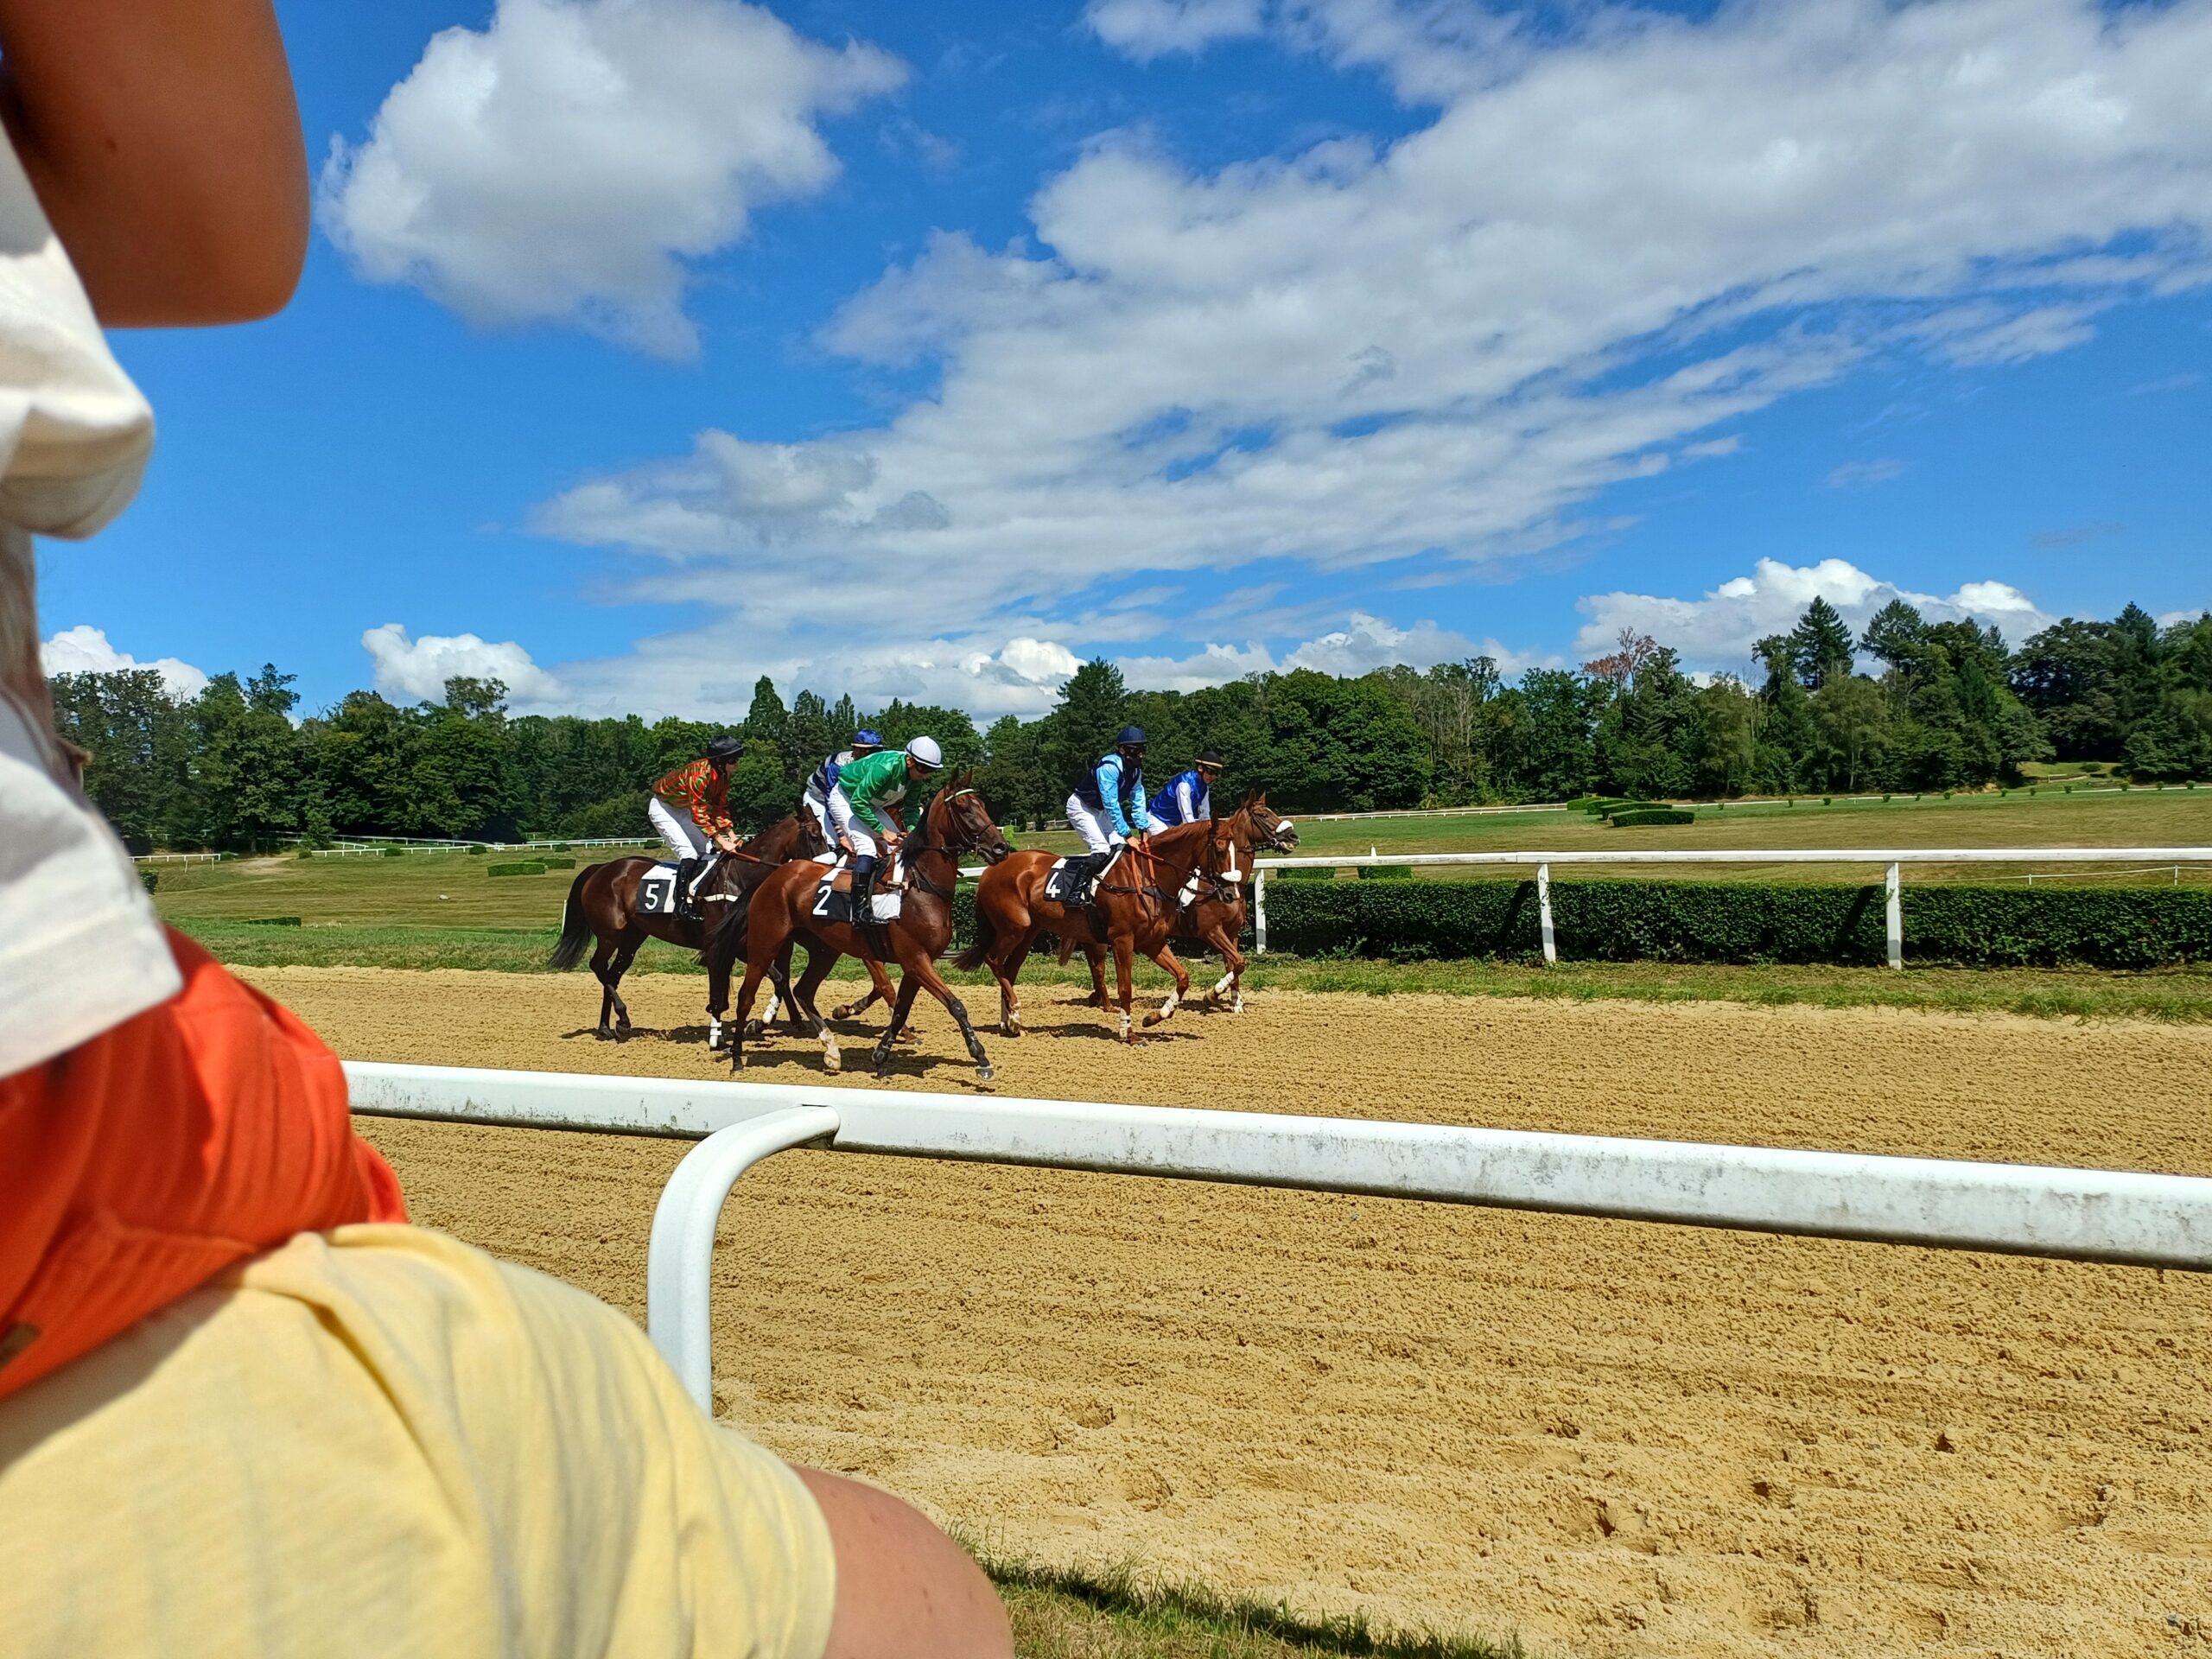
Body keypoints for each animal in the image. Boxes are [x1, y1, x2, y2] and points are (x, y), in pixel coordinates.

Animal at [548, 814, 827, 1044]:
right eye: (815, 836)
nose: (824, 872)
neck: (740, 877)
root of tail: (601, 869)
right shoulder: (724, 946)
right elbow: (726, 989)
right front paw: (721, 1035)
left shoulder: (741, 945)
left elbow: (778, 980)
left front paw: (761, 1022)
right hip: (609, 934)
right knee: (598, 966)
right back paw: (622, 1018)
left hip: (632, 938)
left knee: (612, 974)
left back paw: (608, 1027)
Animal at [716, 774, 1013, 1084]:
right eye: (964, 808)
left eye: (983, 805)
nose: (1001, 848)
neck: (919, 886)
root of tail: (772, 877)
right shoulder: (914, 959)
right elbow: (953, 1005)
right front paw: (981, 1058)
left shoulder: (916, 963)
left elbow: (900, 1009)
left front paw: (881, 1056)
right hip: (764, 945)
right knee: (746, 997)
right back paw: (737, 1056)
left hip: (823, 950)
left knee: (803, 990)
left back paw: (831, 1052)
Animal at [955, 804, 1247, 1039]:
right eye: (1220, 850)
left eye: (1237, 850)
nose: (1231, 894)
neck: (1147, 878)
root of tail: (991, 869)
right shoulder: (1122, 940)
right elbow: (1126, 988)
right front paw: (1128, 1032)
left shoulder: (1152, 941)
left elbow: (1183, 977)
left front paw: (1155, 1017)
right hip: (1012, 929)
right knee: (994, 961)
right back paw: (1014, 1015)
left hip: (1027, 933)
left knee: (1009, 970)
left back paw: (1011, 1024)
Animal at [1065, 800, 1300, 1021]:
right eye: (1263, 815)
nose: (1293, 836)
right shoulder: (1210, 931)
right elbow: (1238, 963)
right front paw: (1211, 995)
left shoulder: (1232, 932)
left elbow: (1234, 965)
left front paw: (1236, 1004)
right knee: (1098, 967)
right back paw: (1104, 1002)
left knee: (1096, 967)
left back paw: (1097, 998)